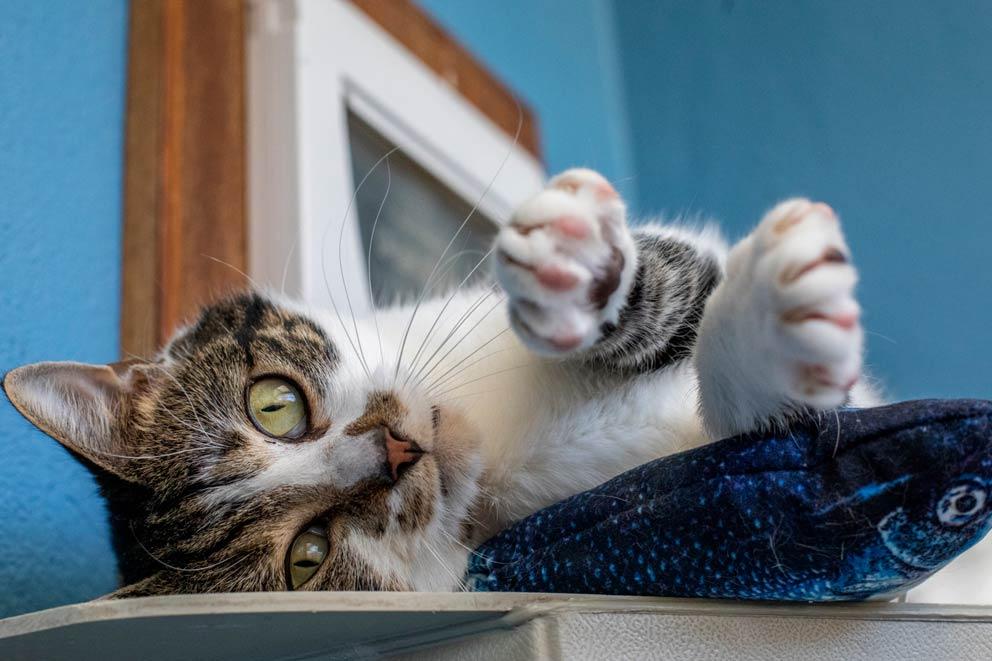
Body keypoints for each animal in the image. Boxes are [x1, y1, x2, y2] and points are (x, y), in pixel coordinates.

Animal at [1, 168, 876, 596]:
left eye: (274, 405)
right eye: (307, 558)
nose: (394, 451)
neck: (502, 461)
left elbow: (686, 282)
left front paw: (580, 271)